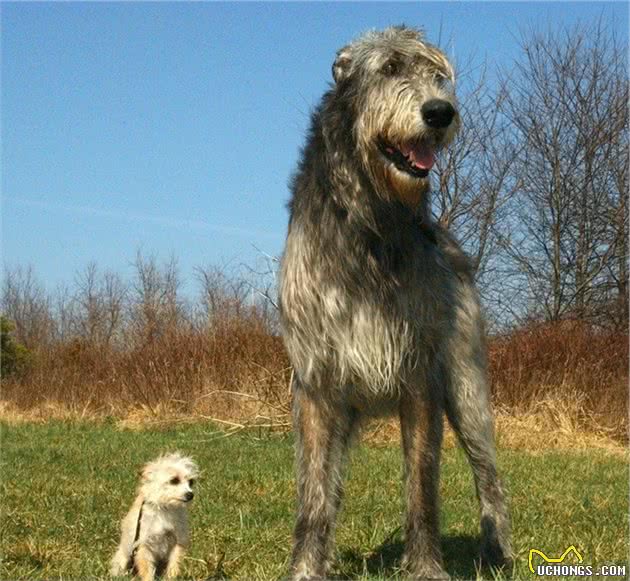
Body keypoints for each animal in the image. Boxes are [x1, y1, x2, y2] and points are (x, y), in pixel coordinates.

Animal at [280, 27, 512, 580]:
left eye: (437, 76)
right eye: (387, 68)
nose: (440, 112)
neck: (372, 221)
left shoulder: (420, 378)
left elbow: (421, 488)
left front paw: (426, 568)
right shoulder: (316, 384)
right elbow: (314, 495)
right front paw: (306, 567)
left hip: (467, 387)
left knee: (488, 475)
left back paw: (496, 550)